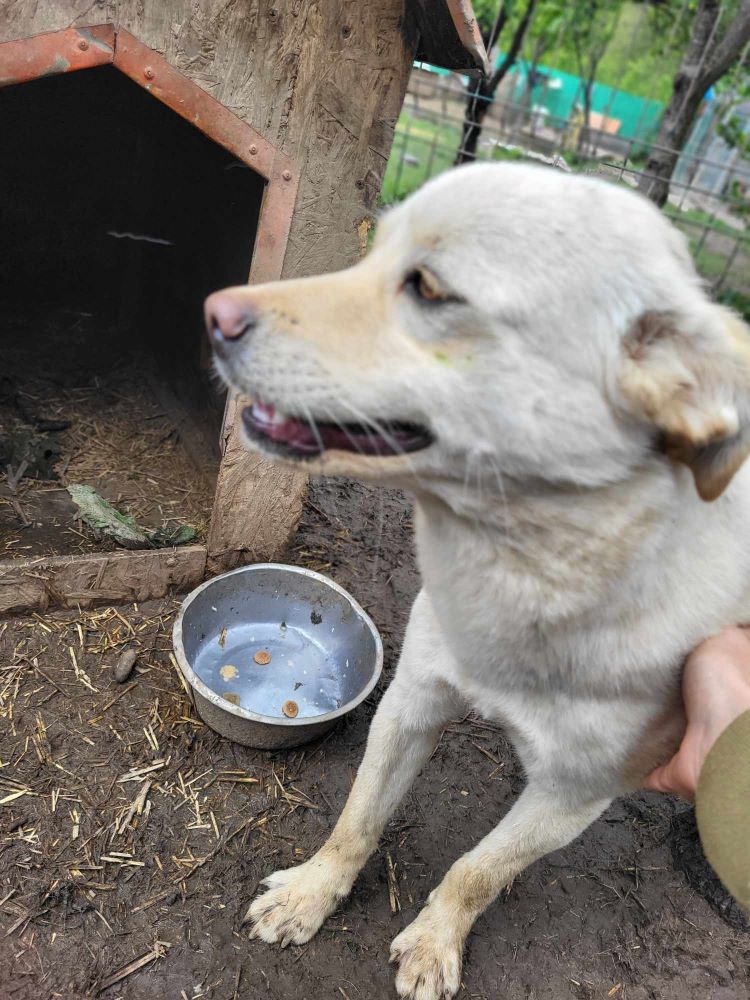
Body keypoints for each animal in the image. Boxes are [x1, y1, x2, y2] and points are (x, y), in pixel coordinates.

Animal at [204, 164, 750, 1000]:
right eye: (373, 249)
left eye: (429, 287)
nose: (213, 311)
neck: (529, 577)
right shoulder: (410, 702)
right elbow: (357, 820)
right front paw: (311, 895)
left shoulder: (574, 794)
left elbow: (477, 872)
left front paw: (435, 943)